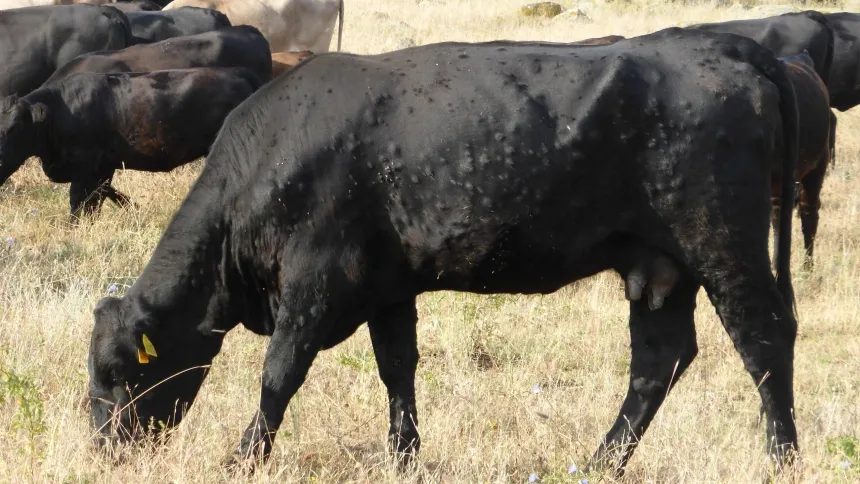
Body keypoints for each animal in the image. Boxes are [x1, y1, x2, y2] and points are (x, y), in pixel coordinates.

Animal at [0, 68, 262, 220]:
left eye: (14, 128)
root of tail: (239, 74)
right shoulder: (103, 167)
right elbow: (103, 196)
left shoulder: (87, 168)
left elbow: (80, 204)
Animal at [86, 28, 800, 478]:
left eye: (119, 371)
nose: (102, 451)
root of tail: (722, 44)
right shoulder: (387, 287)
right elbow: (397, 369)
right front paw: (404, 457)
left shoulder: (315, 284)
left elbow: (278, 376)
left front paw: (242, 459)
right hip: (659, 267)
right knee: (658, 362)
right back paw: (600, 463)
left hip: (723, 245)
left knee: (764, 340)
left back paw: (782, 458)